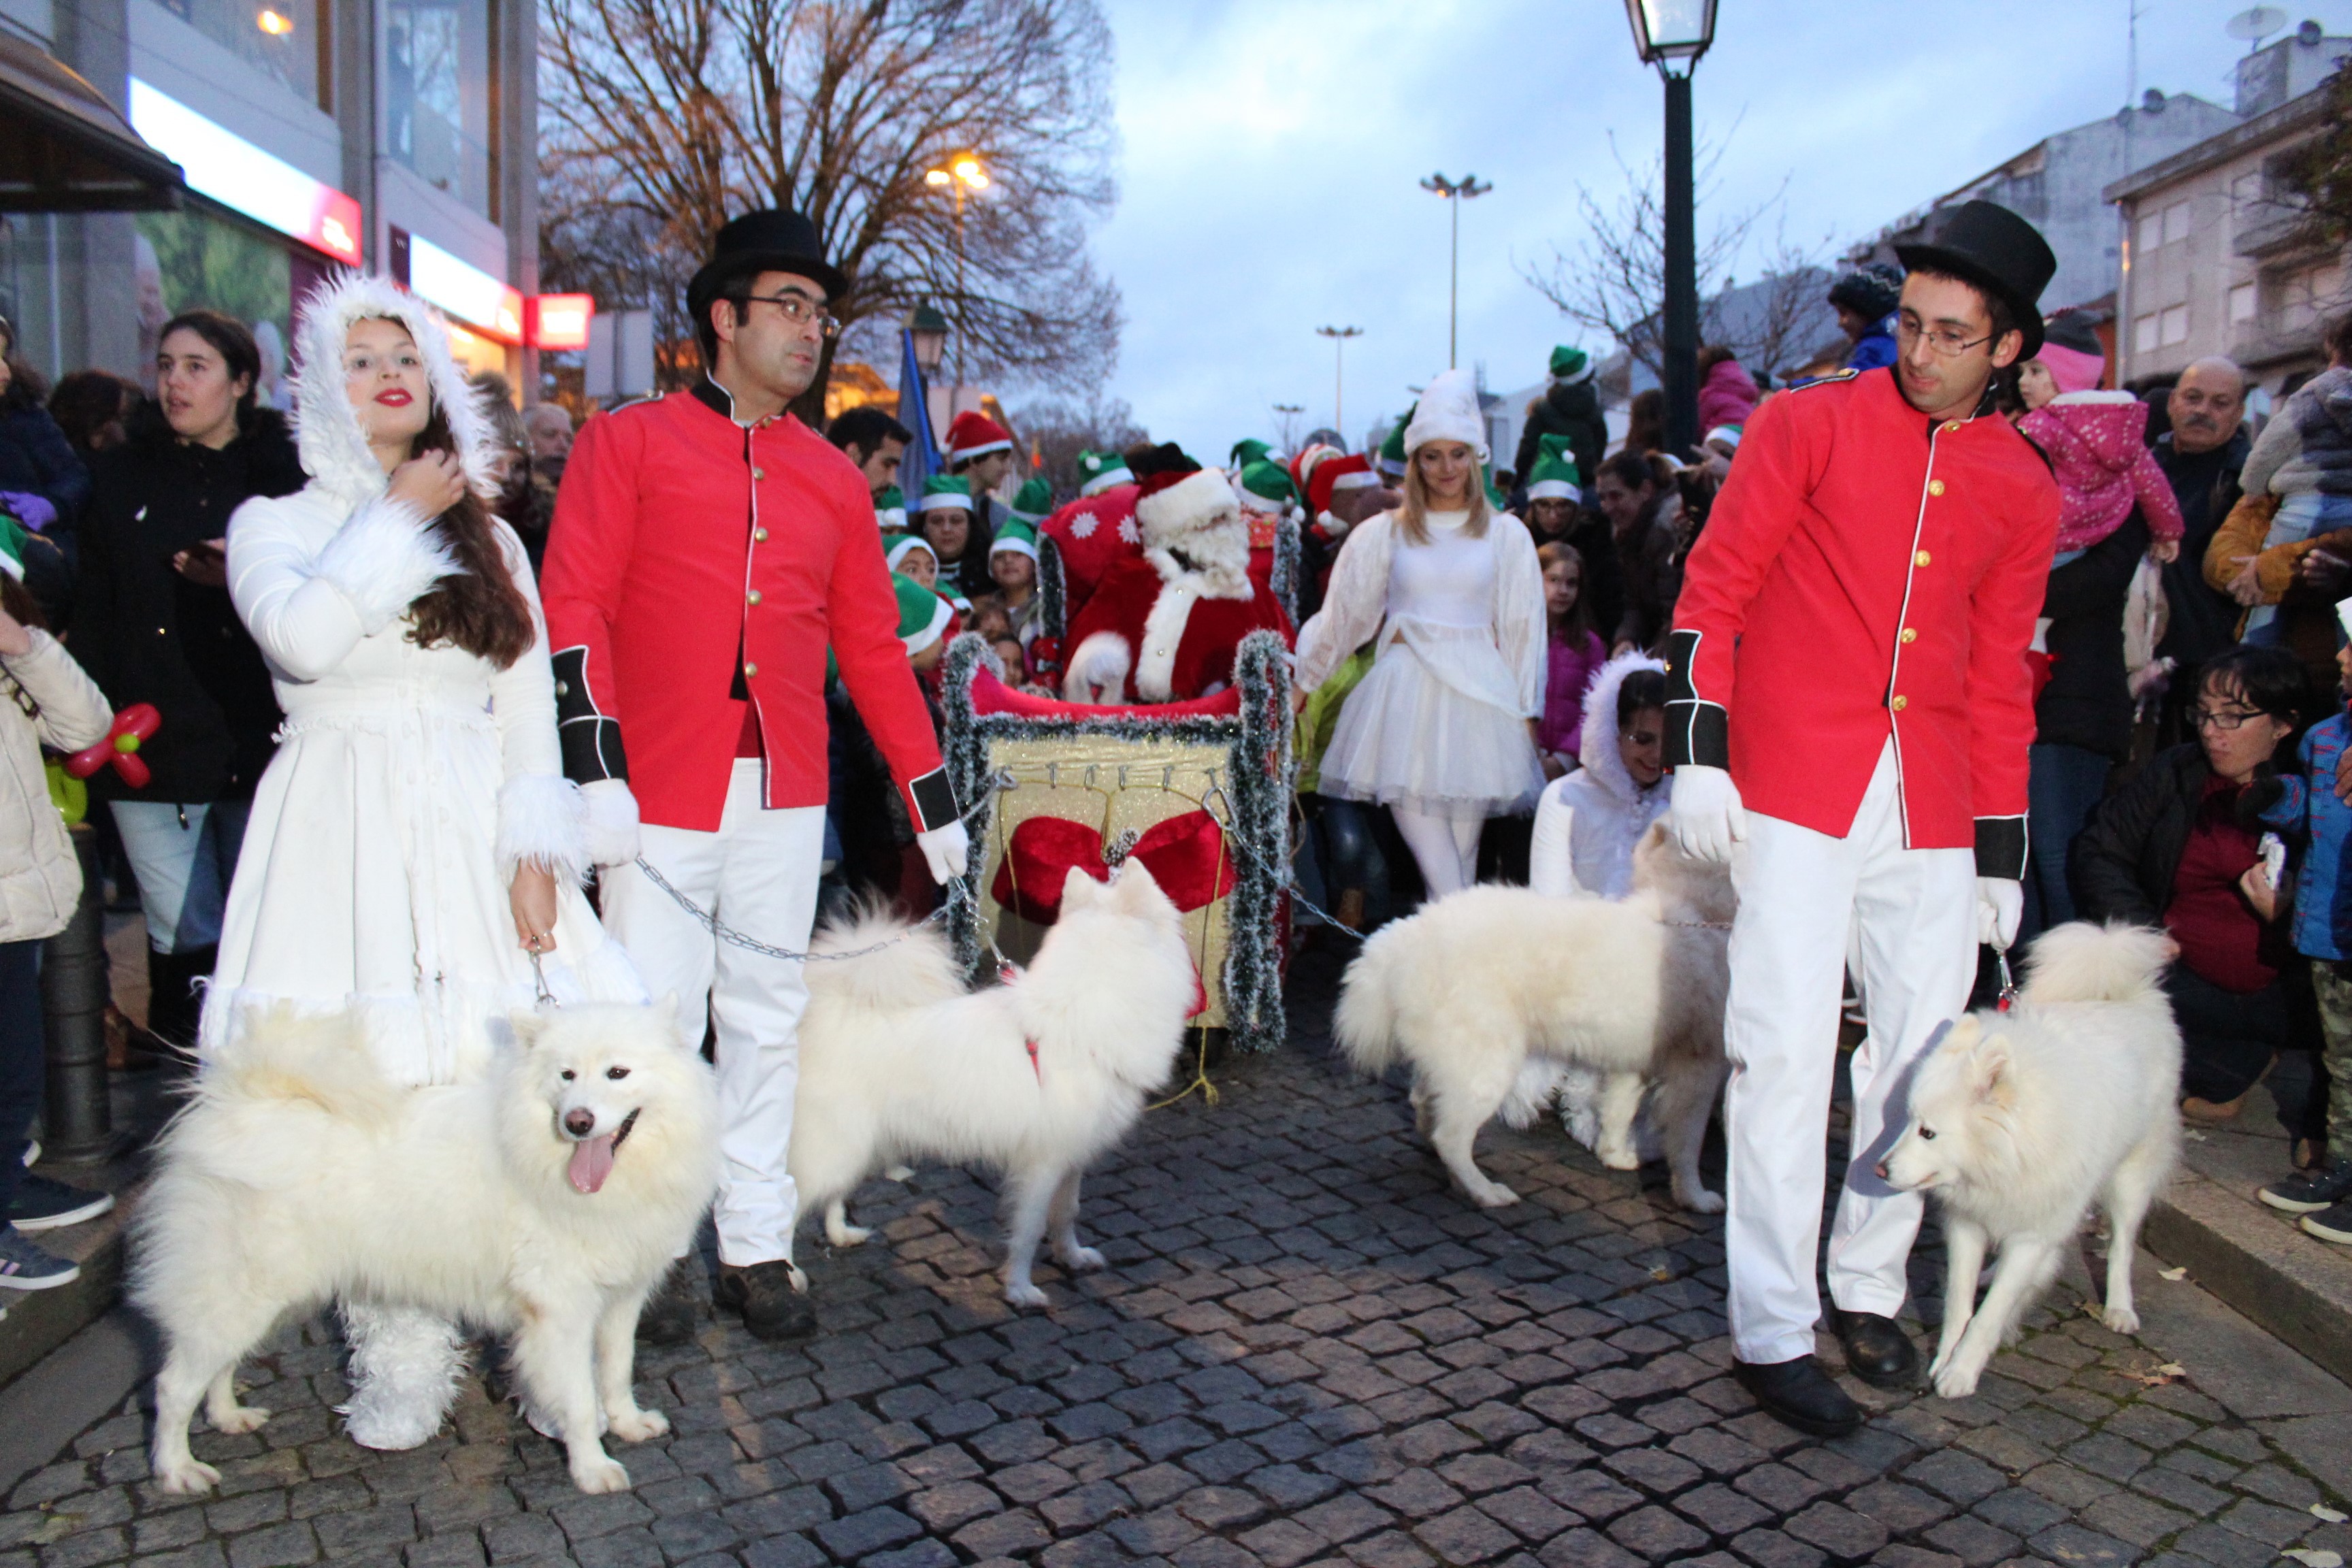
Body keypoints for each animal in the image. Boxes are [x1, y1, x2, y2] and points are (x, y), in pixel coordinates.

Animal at [129, 1001, 710, 1504]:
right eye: (566, 1076)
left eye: (618, 1072)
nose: (578, 1122)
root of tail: (236, 1105)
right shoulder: (562, 1310)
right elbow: (581, 1400)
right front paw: (592, 1470)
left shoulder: (620, 1298)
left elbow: (616, 1372)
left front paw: (630, 1425)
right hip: (241, 1294)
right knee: (173, 1385)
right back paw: (177, 1470)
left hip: (264, 1300)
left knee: (217, 1366)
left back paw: (229, 1417)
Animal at [790, 865, 1194, 1307]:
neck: (1080, 1019)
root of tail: (829, 1013)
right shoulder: (1042, 1163)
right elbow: (1030, 1229)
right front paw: (1020, 1289)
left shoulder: (1073, 1156)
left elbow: (1067, 1213)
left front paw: (1072, 1257)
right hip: (837, 1146)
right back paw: (789, 1275)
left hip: (858, 1145)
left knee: (832, 1193)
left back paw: (841, 1234)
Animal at [1336, 827, 1740, 1222]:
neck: (1698, 905)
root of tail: (1401, 942)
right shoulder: (1700, 1068)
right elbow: (1688, 1142)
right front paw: (1696, 1198)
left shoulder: (1634, 1060)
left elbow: (1617, 1110)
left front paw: (1617, 1157)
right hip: (1489, 1065)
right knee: (1450, 1136)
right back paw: (1486, 1192)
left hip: (1451, 1059)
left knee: (1426, 1108)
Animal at [1872, 921, 2183, 1401]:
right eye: (1907, 1121)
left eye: (1929, 1133)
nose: (1879, 1170)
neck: (2008, 1156)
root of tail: (2124, 995)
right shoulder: (1968, 1223)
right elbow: (1959, 1304)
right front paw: (1944, 1359)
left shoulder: (2033, 1234)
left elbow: (1990, 1315)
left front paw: (1962, 1372)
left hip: (2129, 1181)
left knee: (2122, 1246)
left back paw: (2119, 1308)